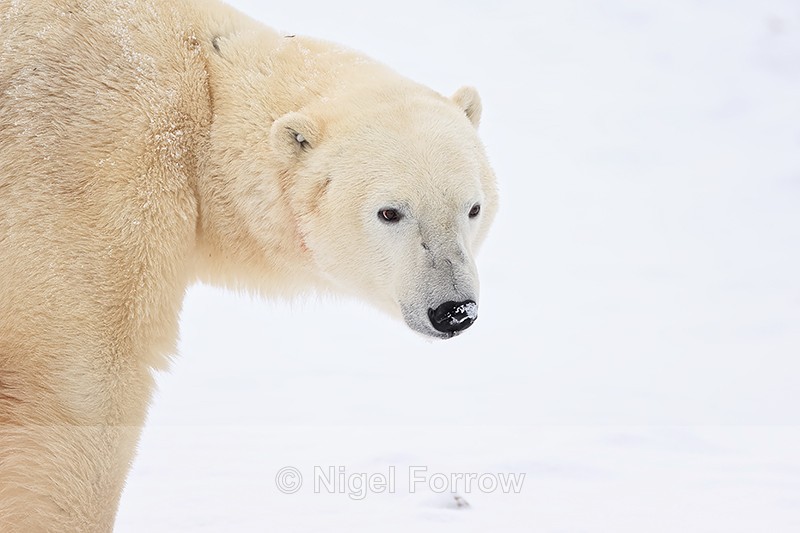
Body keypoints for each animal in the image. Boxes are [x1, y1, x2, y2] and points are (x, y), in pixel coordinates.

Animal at [0, 0, 498, 531]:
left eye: (473, 208)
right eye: (390, 212)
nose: (453, 310)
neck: (206, 95)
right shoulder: (91, 166)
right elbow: (76, 383)